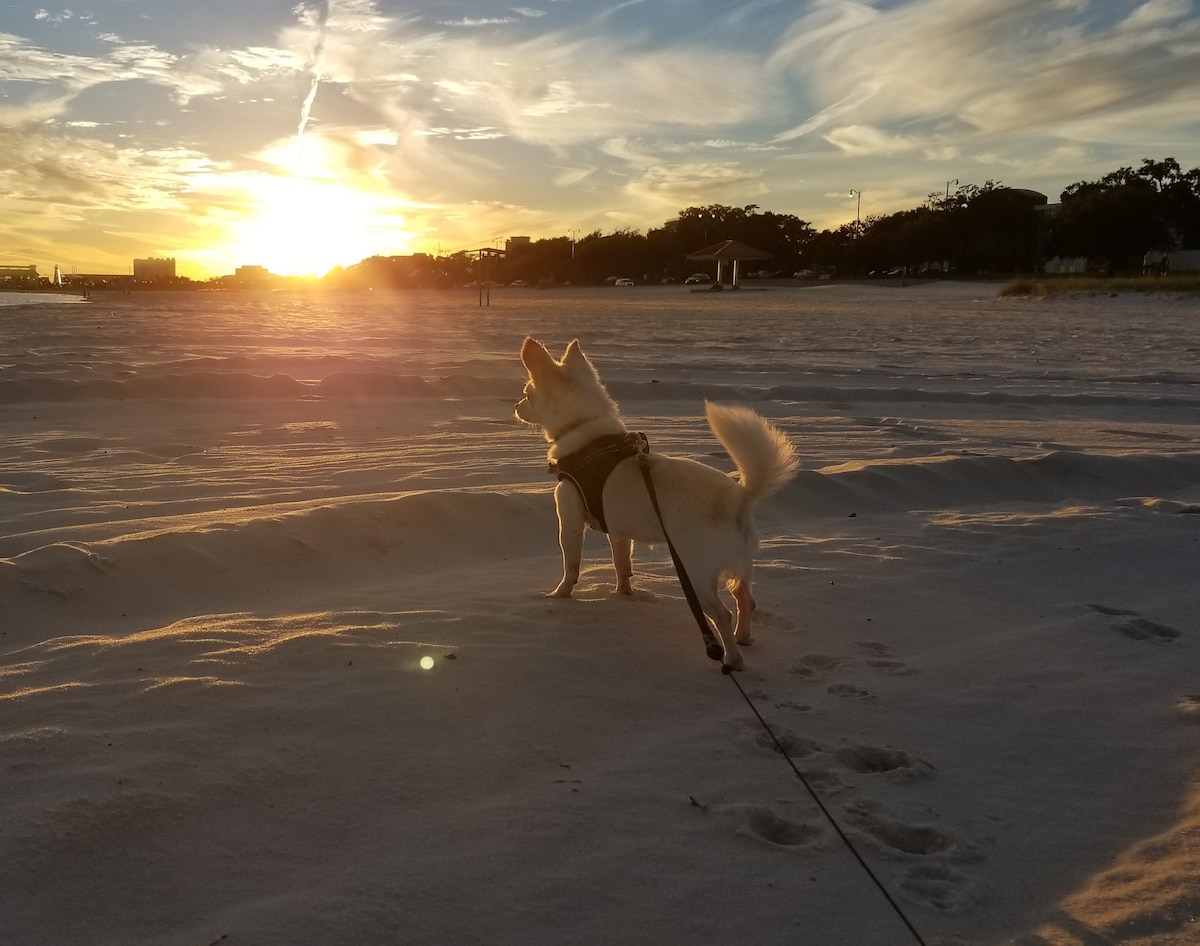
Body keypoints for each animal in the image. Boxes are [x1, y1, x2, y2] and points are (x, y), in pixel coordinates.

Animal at [513, 336, 796, 667]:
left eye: (527, 394)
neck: (586, 432)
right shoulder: (619, 533)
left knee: (722, 614)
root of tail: (738, 499)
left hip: (695, 573)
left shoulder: (569, 521)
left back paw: (732, 658)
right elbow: (622, 563)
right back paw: (744, 638)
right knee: (746, 600)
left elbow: (570, 565)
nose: (516, 406)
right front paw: (623, 592)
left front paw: (560, 594)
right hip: (740, 568)